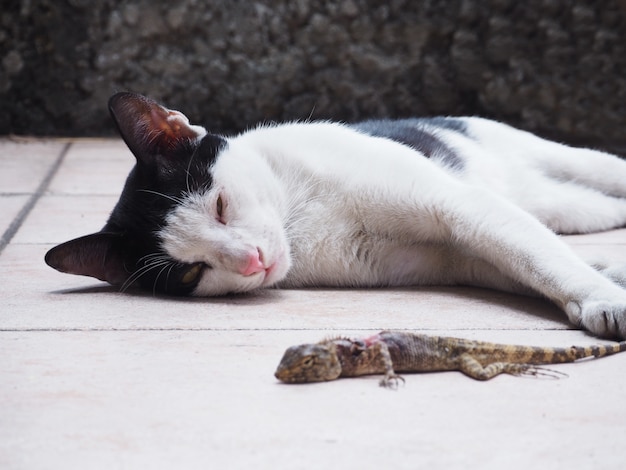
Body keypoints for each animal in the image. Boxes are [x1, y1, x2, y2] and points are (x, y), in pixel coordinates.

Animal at [45, 92, 626, 340]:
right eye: (191, 273)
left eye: (221, 206)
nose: (252, 260)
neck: (300, 217)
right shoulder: (455, 256)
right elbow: (523, 263)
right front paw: (599, 284)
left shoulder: (458, 206)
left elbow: (537, 256)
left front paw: (605, 300)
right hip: (567, 207)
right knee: (564, 218)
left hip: (550, 159)